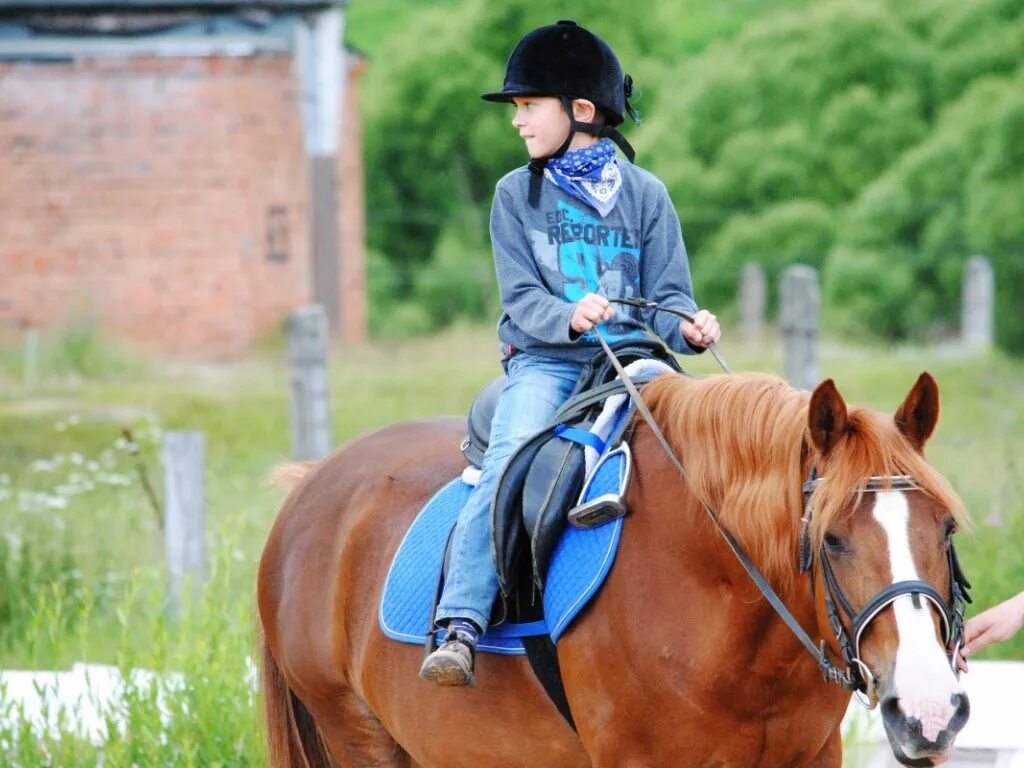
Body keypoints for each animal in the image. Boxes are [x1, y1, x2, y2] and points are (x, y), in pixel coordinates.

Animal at [256, 372, 966, 768]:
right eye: (833, 539)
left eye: (945, 529)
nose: (929, 709)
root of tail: (309, 486)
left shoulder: (812, 757)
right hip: (357, 734)